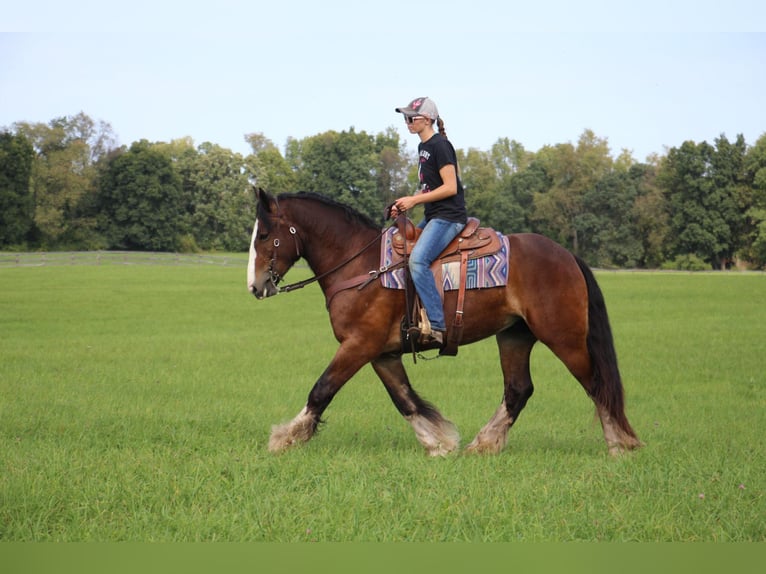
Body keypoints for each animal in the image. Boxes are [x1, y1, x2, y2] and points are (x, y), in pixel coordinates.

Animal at [248, 190, 640, 460]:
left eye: (264, 234)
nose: (255, 286)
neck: (361, 265)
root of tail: (567, 255)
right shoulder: (381, 353)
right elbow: (404, 399)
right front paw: (438, 442)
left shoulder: (358, 345)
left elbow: (322, 390)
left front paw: (285, 437)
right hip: (514, 336)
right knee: (518, 390)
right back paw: (483, 444)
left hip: (565, 339)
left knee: (597, 385)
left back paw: (620, 444)